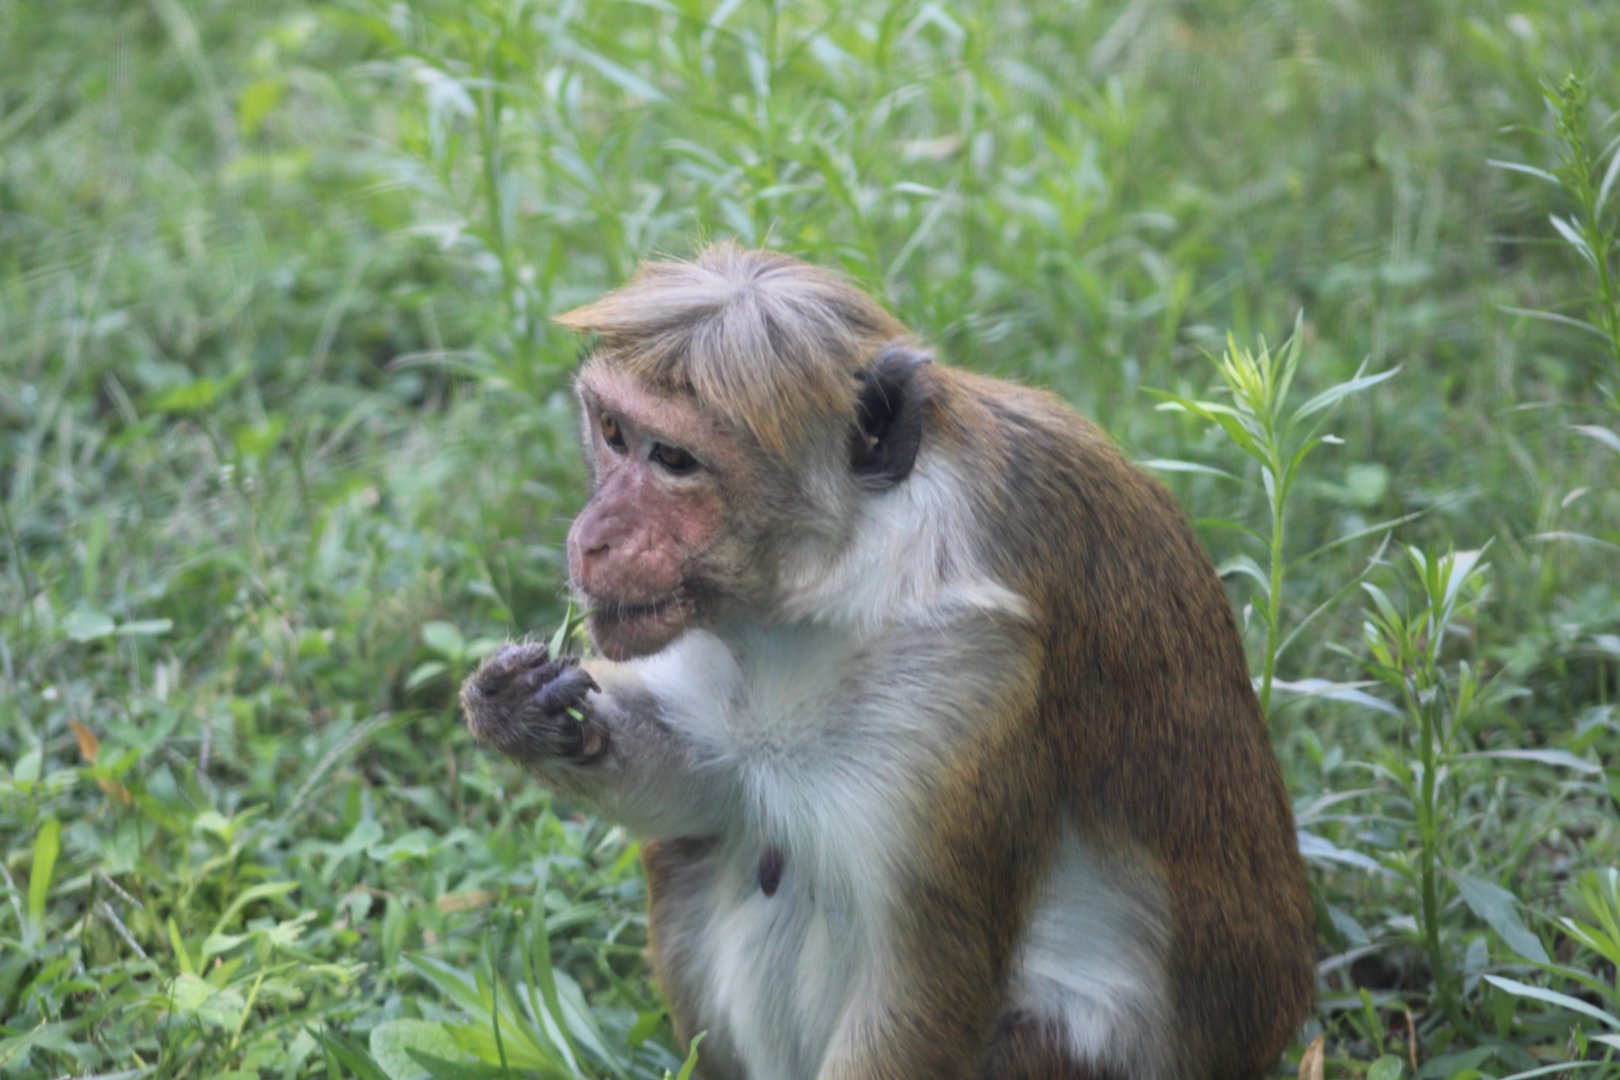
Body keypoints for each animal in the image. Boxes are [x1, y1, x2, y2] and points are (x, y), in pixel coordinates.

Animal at [460, 242, 1315, 1080]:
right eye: (612, 432)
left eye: (674, 459)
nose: (591, 538)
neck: (843, 578)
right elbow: (707, 786)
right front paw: (522, 710)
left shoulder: (966, 680)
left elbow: (927, 982)